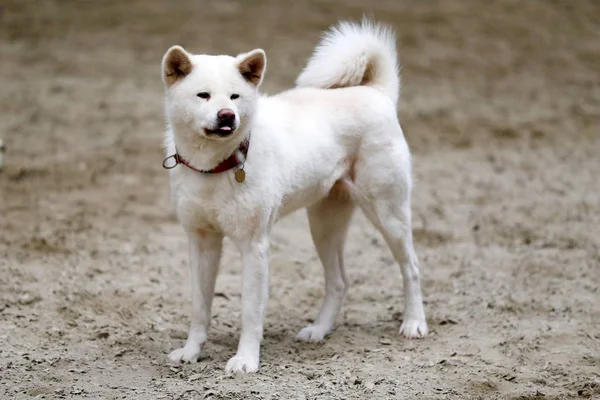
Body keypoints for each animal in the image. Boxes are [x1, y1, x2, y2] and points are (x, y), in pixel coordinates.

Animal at [162, 19, 428, 376]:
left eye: (234, 96)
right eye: (202, 95)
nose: (227, 115)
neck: (215, 166)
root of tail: (376, 93)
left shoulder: (254, 247)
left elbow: (250, 312)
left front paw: (246, 360)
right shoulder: (202, 243)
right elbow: (199, 308)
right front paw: (191, 351)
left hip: (388, 215)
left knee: (410, 267)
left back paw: (414, 323)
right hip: (324, 225)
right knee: (339, 282)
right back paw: (319, 330)